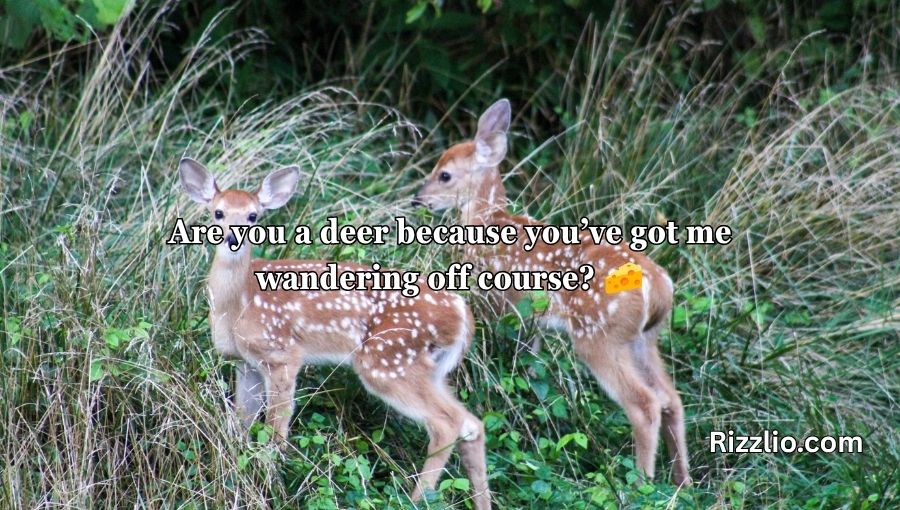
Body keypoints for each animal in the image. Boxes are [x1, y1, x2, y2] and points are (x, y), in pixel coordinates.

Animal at [177, 158, 491, 508]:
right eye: (217, 213)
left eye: (253, 216)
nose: (234, 239)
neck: (238, 305)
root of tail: (463, 314)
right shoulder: (245, 364)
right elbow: (241, 423)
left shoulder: (282, 354)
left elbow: (276, 426)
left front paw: (272, 480)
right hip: (429, 369)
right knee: (472, 424)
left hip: (388, 360)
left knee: (447, 424)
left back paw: (415, 499)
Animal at [411, 99, 691, 486]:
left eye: (445, 175)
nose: (417, 200)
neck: (487, 224)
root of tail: (660, 288)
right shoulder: (534, 323)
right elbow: (531, 367)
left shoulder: (496, 303)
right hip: (643, 339)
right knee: (671, 399)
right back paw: (683, 483)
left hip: (599, 336)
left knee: (645, 403)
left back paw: (640, 484)